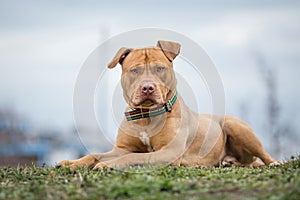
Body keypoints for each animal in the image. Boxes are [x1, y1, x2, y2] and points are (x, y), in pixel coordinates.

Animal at [57, 39, 280, 170]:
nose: (147, 87)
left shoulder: (168, 152)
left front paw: (108, 165)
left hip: (235, 126)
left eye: (159, 68)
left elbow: (133, 158)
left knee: (264, 155)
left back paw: (273, 163)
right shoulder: (122, 148)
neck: (146, 117)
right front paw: (71, 162)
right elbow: (95, 154)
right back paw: (227, 162)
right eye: (135, 70)